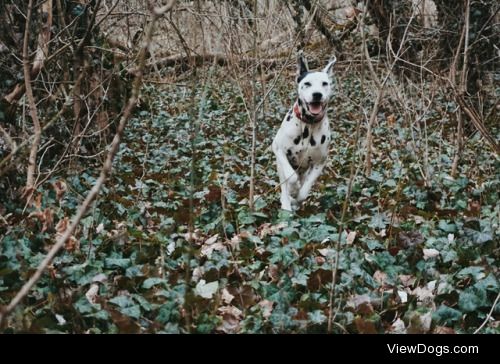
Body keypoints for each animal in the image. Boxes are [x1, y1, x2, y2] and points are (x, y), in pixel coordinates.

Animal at [272, 50, 338, 210]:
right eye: (307, 83)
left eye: (325, 83)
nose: (317, 94)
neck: (308, 126)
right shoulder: (278, 149)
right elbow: (291, 177)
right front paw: (293, 188)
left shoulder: (320, 162)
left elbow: (304, 191)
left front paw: (297, 196)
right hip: (280, 165)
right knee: (285, 185)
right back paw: (286, 204)